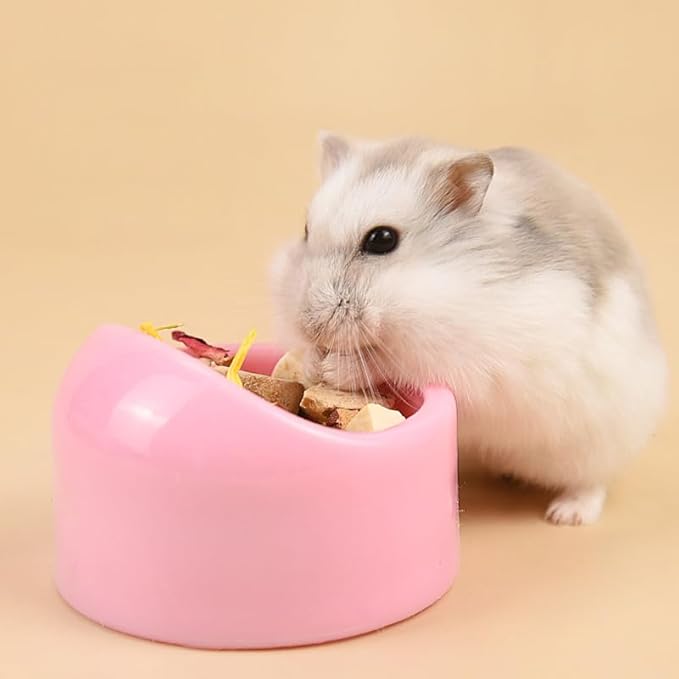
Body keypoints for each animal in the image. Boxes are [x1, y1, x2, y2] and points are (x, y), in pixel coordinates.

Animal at [270, 132, 668, 526]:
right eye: (306, 231)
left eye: (382, 239)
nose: (308, 323)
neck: (443, 277)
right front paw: (311, 362)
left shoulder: (461, 359)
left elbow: (387, 365)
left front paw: (336, 367)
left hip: (598, 446)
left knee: (593, 482)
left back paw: (566, 515)